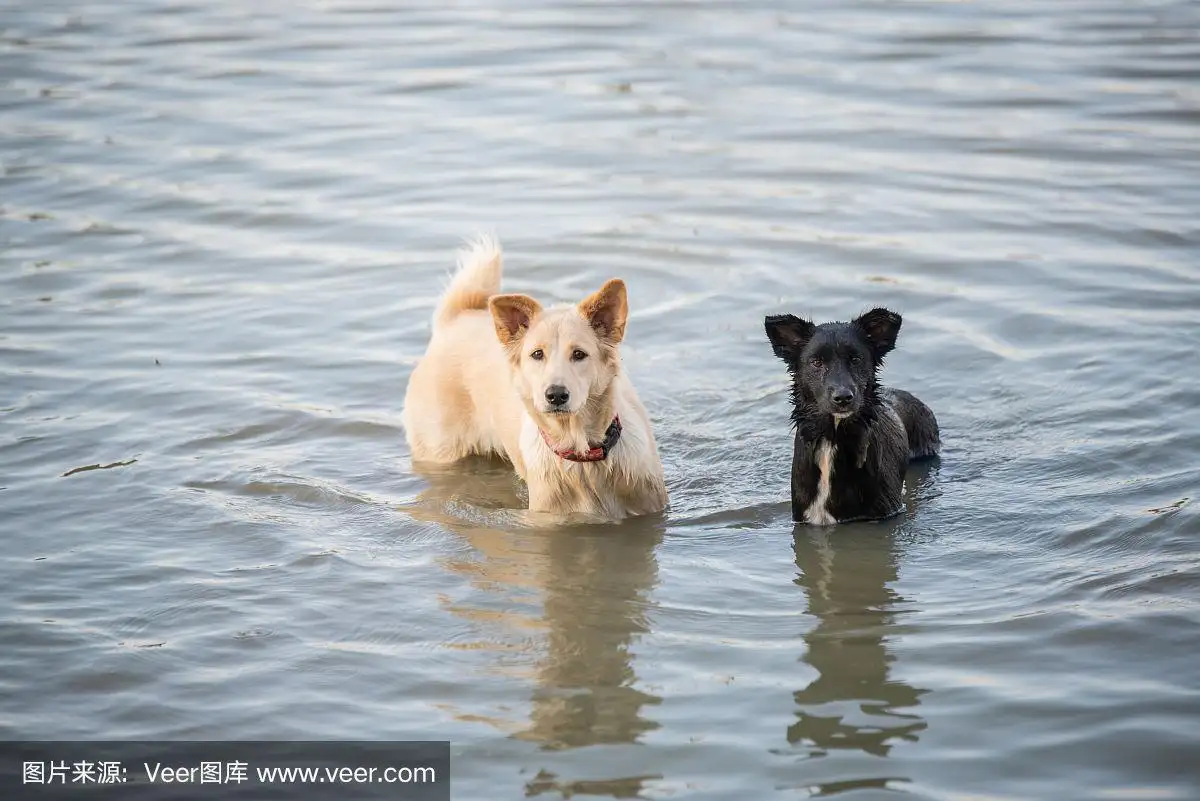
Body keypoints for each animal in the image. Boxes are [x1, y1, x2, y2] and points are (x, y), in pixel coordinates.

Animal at [400, 235, 667, 520]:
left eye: (579, 354)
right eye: (537, 354)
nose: (556, 395)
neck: (581, 453)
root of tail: (456, 319)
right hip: (440, 452)